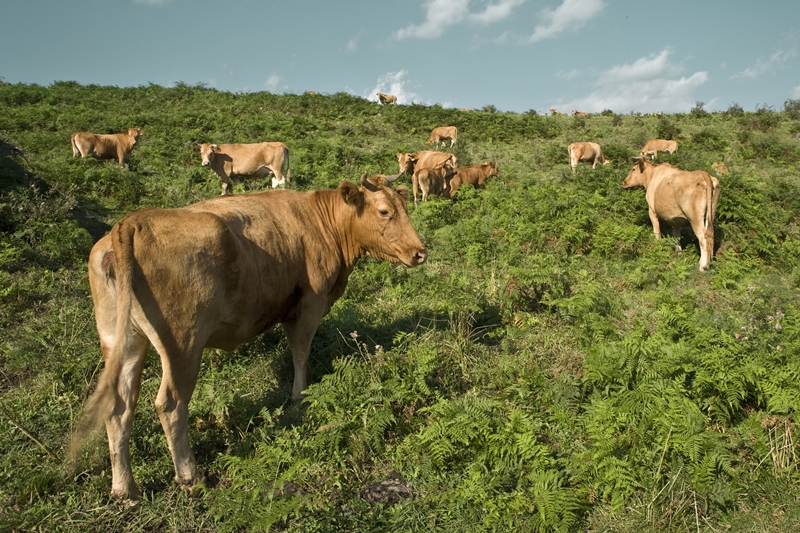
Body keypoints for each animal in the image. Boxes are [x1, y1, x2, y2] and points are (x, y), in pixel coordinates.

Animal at [72, 172, 428, 496]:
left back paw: (124, 489)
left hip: (122, 341)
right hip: (183, 344)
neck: (321, 222)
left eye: (403, 206)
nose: (420, 252)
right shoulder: (309, 303)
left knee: (119, 407)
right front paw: (299, 395)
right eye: (384, 211)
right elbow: (300, 351)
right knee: (170, 404)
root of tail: (133, 222)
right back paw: (190, 476)